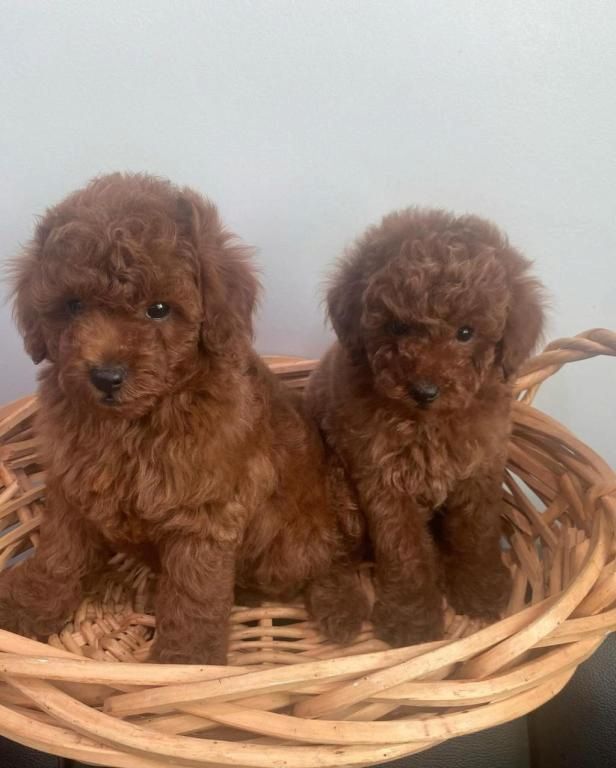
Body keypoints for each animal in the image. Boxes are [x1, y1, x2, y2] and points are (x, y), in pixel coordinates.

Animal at [0, 172, 369, 663]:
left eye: (159, 309)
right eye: (74, 305)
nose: (106, 375)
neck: (135, 422)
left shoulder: (202, 517)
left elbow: (194, 597)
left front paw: (187, 660)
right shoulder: (72, 488)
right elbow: (58, 556)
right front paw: (25, 605)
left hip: (303, 535)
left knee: (331, 560)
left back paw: (339, 605)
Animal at [306, 208, 545, 646]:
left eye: (466, 333)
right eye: (398, 327)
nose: (424, 389)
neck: (427, 423)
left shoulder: (481, 468)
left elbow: (477, 532)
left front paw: (481, 589)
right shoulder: (383, 479)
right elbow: (403, 550)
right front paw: (412, 621)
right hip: (337, 491)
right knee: (330, 556)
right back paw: (341, 608)